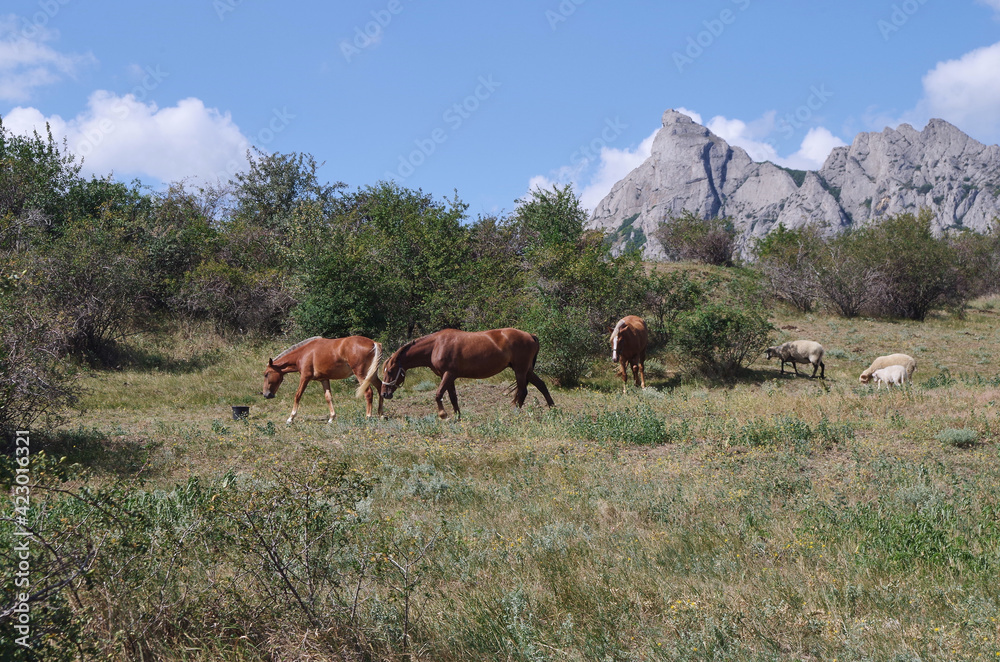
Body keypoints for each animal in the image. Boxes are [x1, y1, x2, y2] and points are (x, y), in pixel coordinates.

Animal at [380, 330, 560, 422]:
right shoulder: (449, 376)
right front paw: (457, 416)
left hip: (520, 370)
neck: (436, 345)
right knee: (541, 385)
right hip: (527, 370)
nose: (384, 393)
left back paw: (513, 413)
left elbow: (438, 395)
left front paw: (443, 414)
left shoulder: (448, 374)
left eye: (389, 371)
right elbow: (452, 397)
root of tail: (531, 336)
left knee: (522, 392)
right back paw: (553, 410)